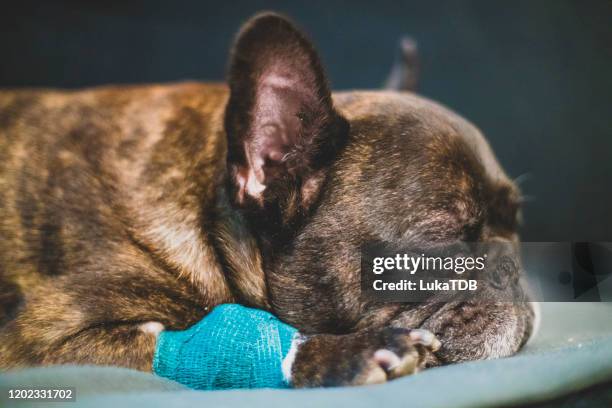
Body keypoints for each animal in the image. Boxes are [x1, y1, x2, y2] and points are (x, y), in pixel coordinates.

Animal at [0, 12, 532, 388]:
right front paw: (342, 354)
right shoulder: (41, 343)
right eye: (441, 240)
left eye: (517, 227)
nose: (510, 269)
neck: (209, 219)